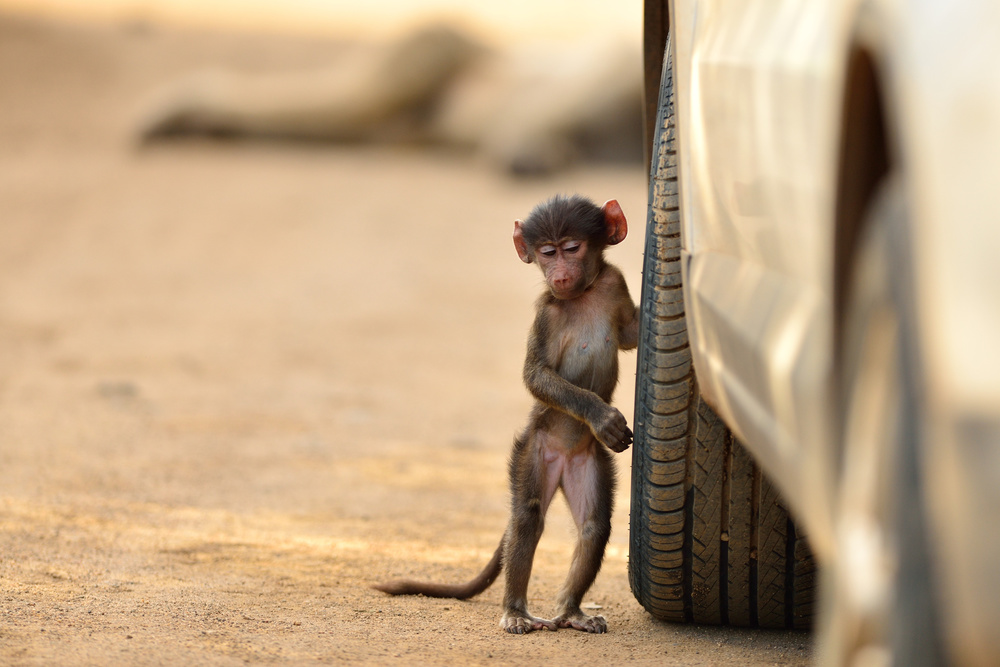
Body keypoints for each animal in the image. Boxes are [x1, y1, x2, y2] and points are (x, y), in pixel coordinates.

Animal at [374, 194, 639, 634]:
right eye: (547, 253)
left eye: (572, 248)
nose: (559, 275)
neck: (582, 295)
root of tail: (563, 458)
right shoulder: (546, 312)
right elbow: (534, 375)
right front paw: (604, 418)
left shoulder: (613, 282)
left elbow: (632, 337)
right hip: (534, 451)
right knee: (527, 518)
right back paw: (516, 611)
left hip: (586, 462)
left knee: (594, 525)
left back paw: (570, 612)